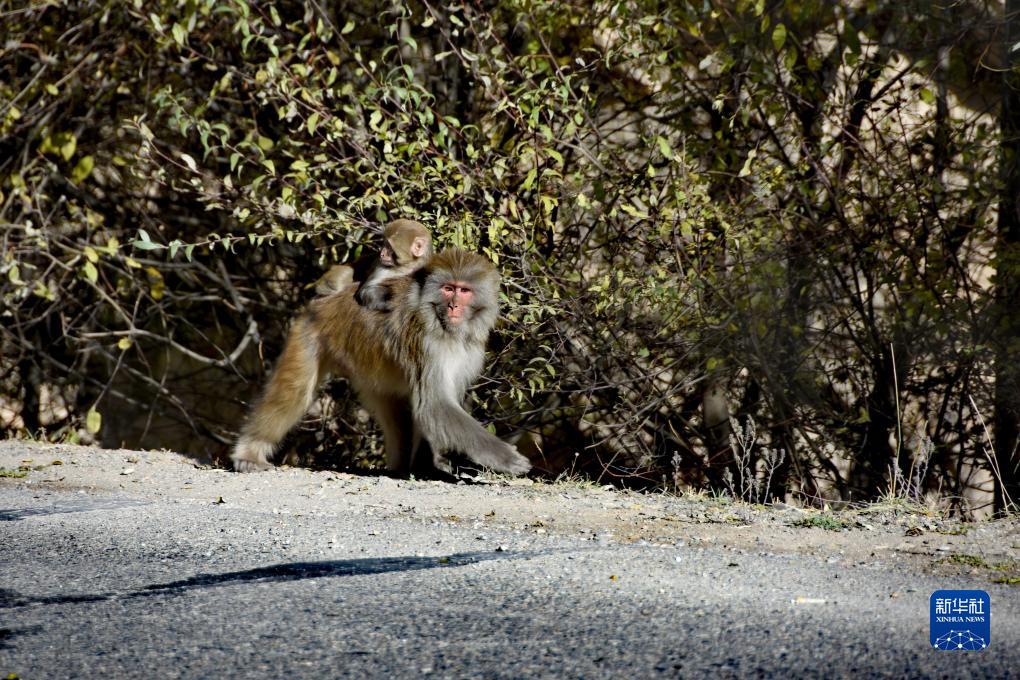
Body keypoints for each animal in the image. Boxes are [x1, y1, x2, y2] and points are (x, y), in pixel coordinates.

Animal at [231, 247, 530, 477]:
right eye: (448, 289)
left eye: (464, 291)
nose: (454, 306)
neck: (445, 325)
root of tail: (326, 300)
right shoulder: (426, 343)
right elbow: (434, 405)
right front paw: (505, 457)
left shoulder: (468, 351)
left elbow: (435, 405)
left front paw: (427, 466)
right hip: (309, 333)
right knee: (293, 395)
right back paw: (249, 452)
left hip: (369, 372)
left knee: (396, 411)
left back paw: (403, 467)